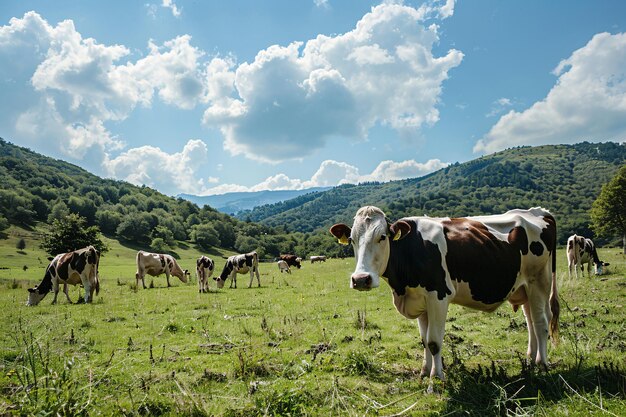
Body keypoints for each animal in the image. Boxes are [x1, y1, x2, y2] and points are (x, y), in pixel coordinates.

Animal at [330, 205, 560, 384]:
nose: (361, 279)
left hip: (540, 281)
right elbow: (424, 340)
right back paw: (530, 360)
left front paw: (436, 377)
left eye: (382, 237)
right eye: (352, 239)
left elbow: (434, 341)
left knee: (541, 322)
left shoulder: (438, 296)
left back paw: (542, 364)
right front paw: (424, 372)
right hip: (524, 287)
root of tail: (538, 211)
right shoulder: (419, 300)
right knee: (530, 320)